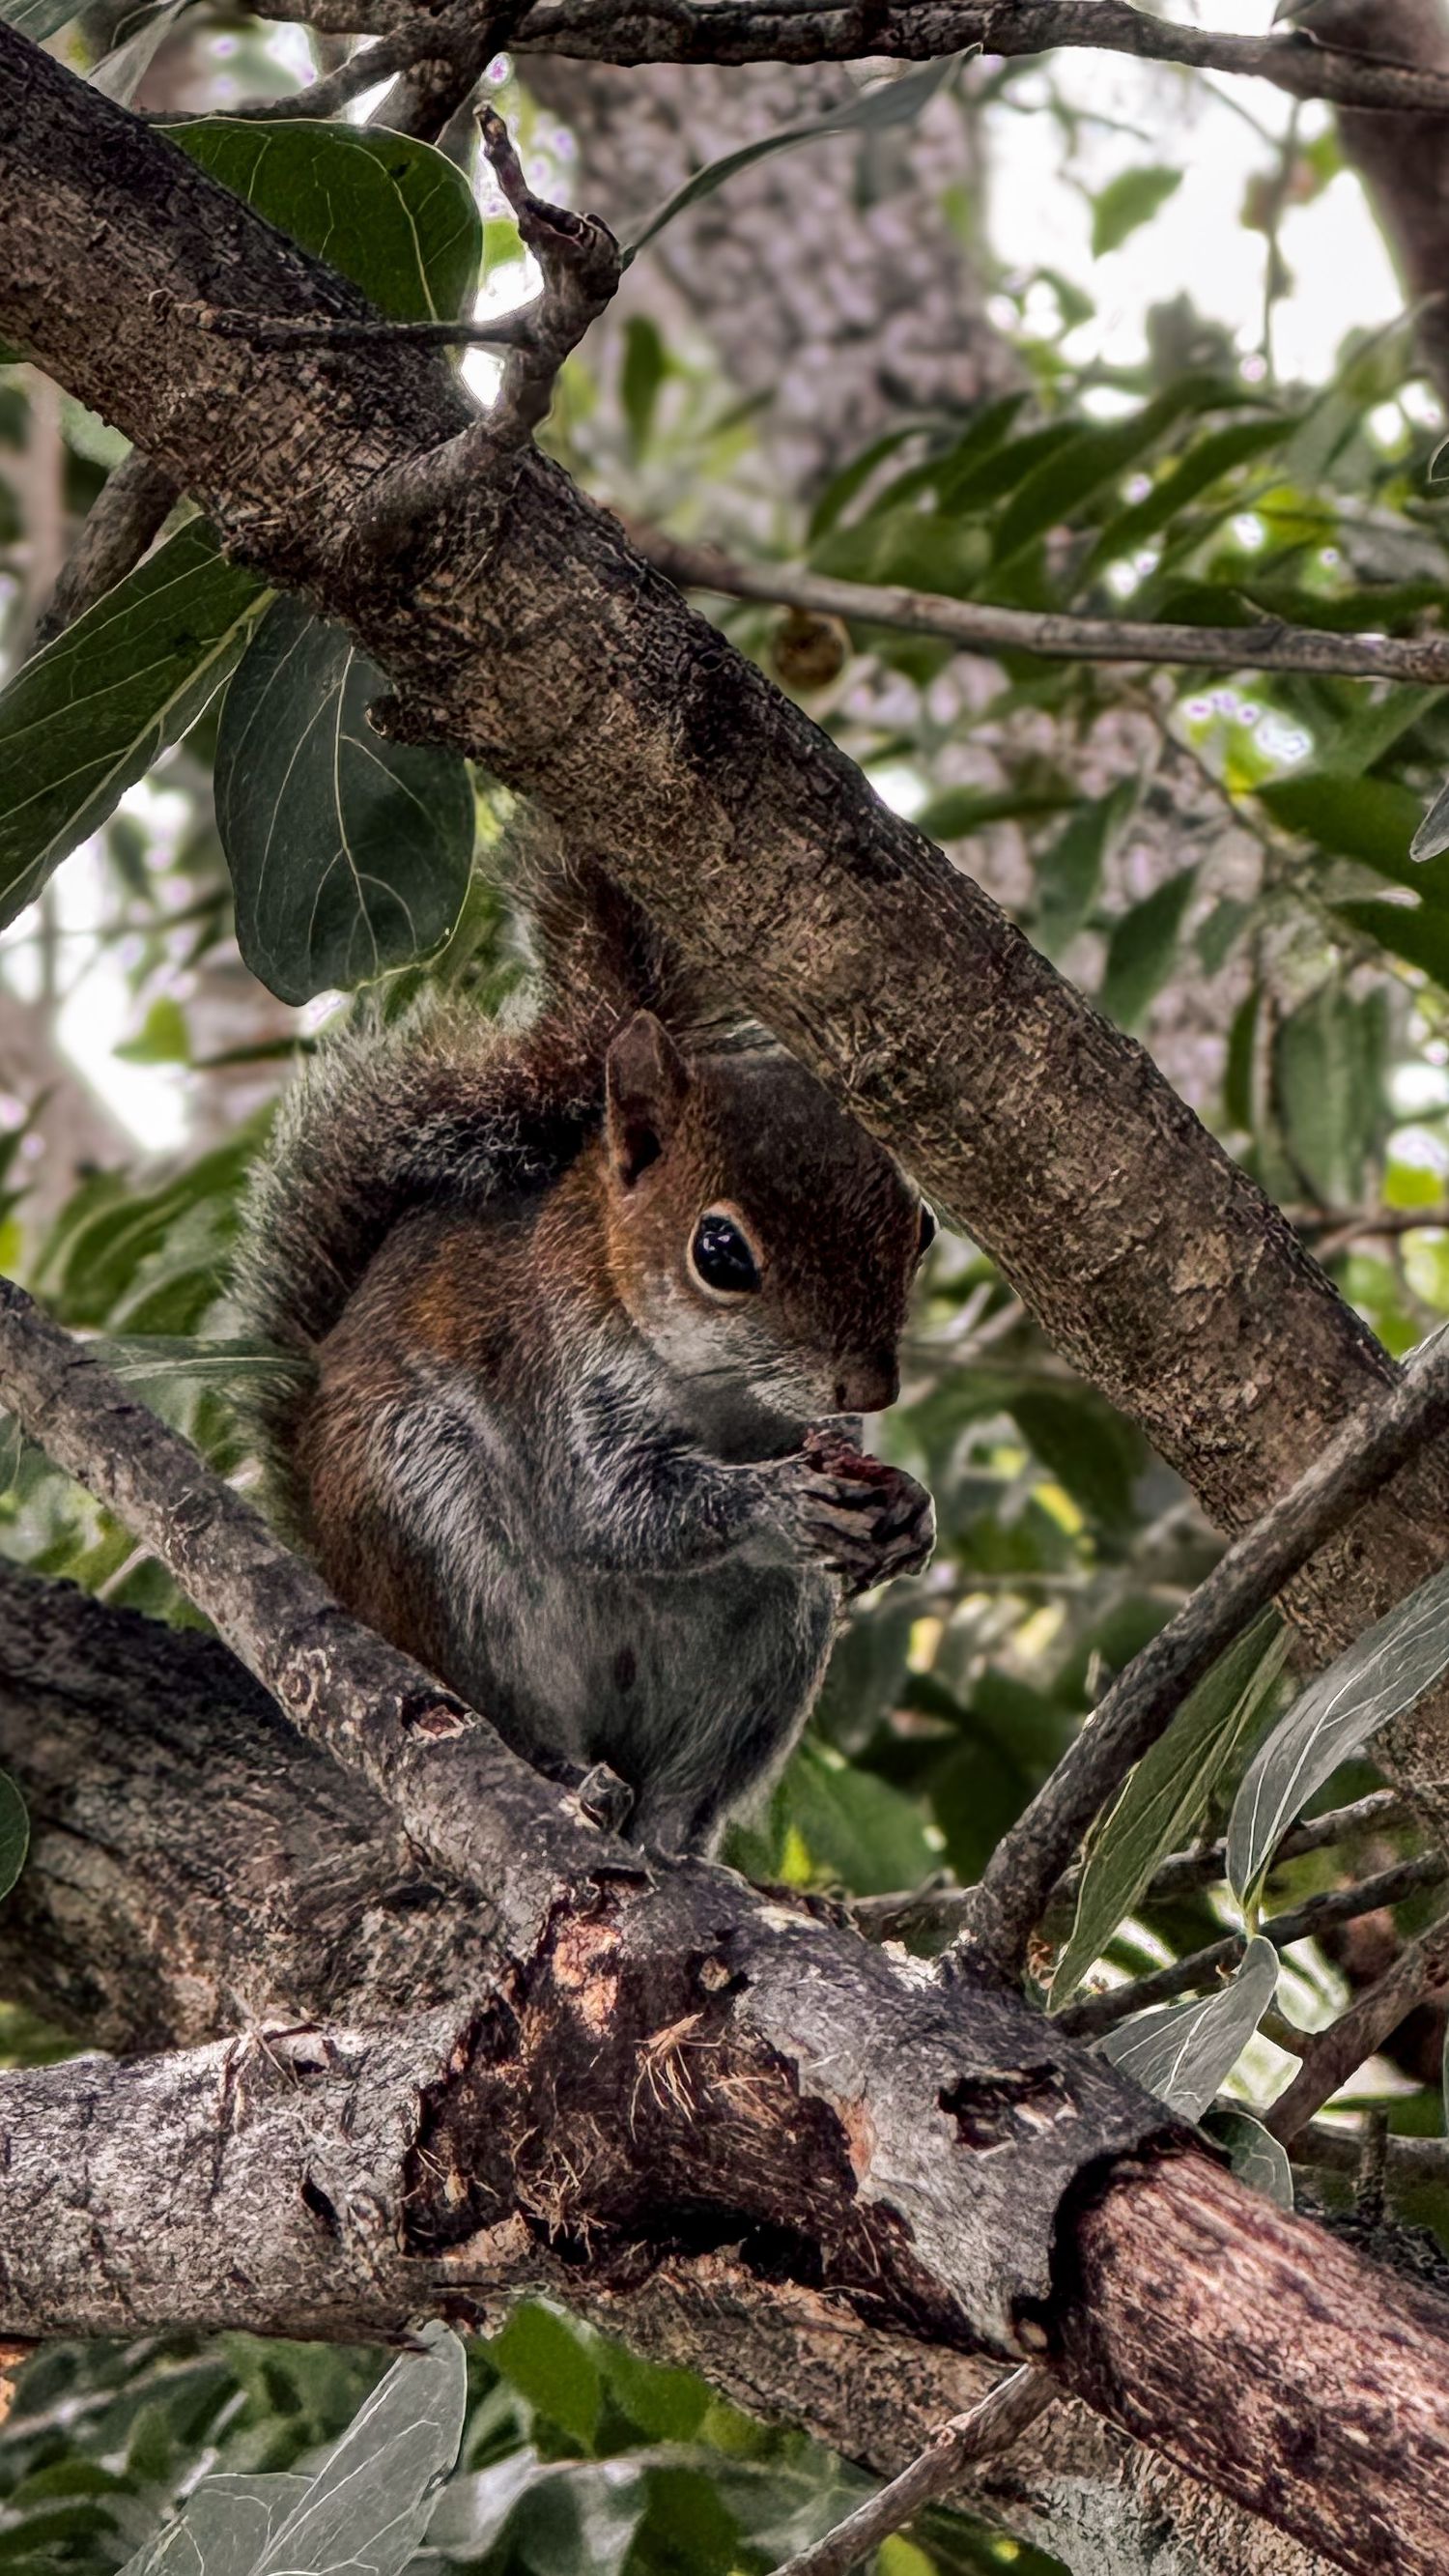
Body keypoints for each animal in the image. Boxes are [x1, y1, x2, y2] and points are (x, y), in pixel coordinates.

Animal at [235, 843, 936, 1856]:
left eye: (923, 1227)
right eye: (720, 1251)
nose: (871, 1388)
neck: (716, 1390)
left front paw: (911, 1509)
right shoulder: (552, 1370)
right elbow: (605, 1508)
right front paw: (775, 1498)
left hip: (773, 1643)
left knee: (686, 1787)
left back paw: (677, 1841)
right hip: (432, 1536)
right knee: (500, 1715)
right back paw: (562, 1775)